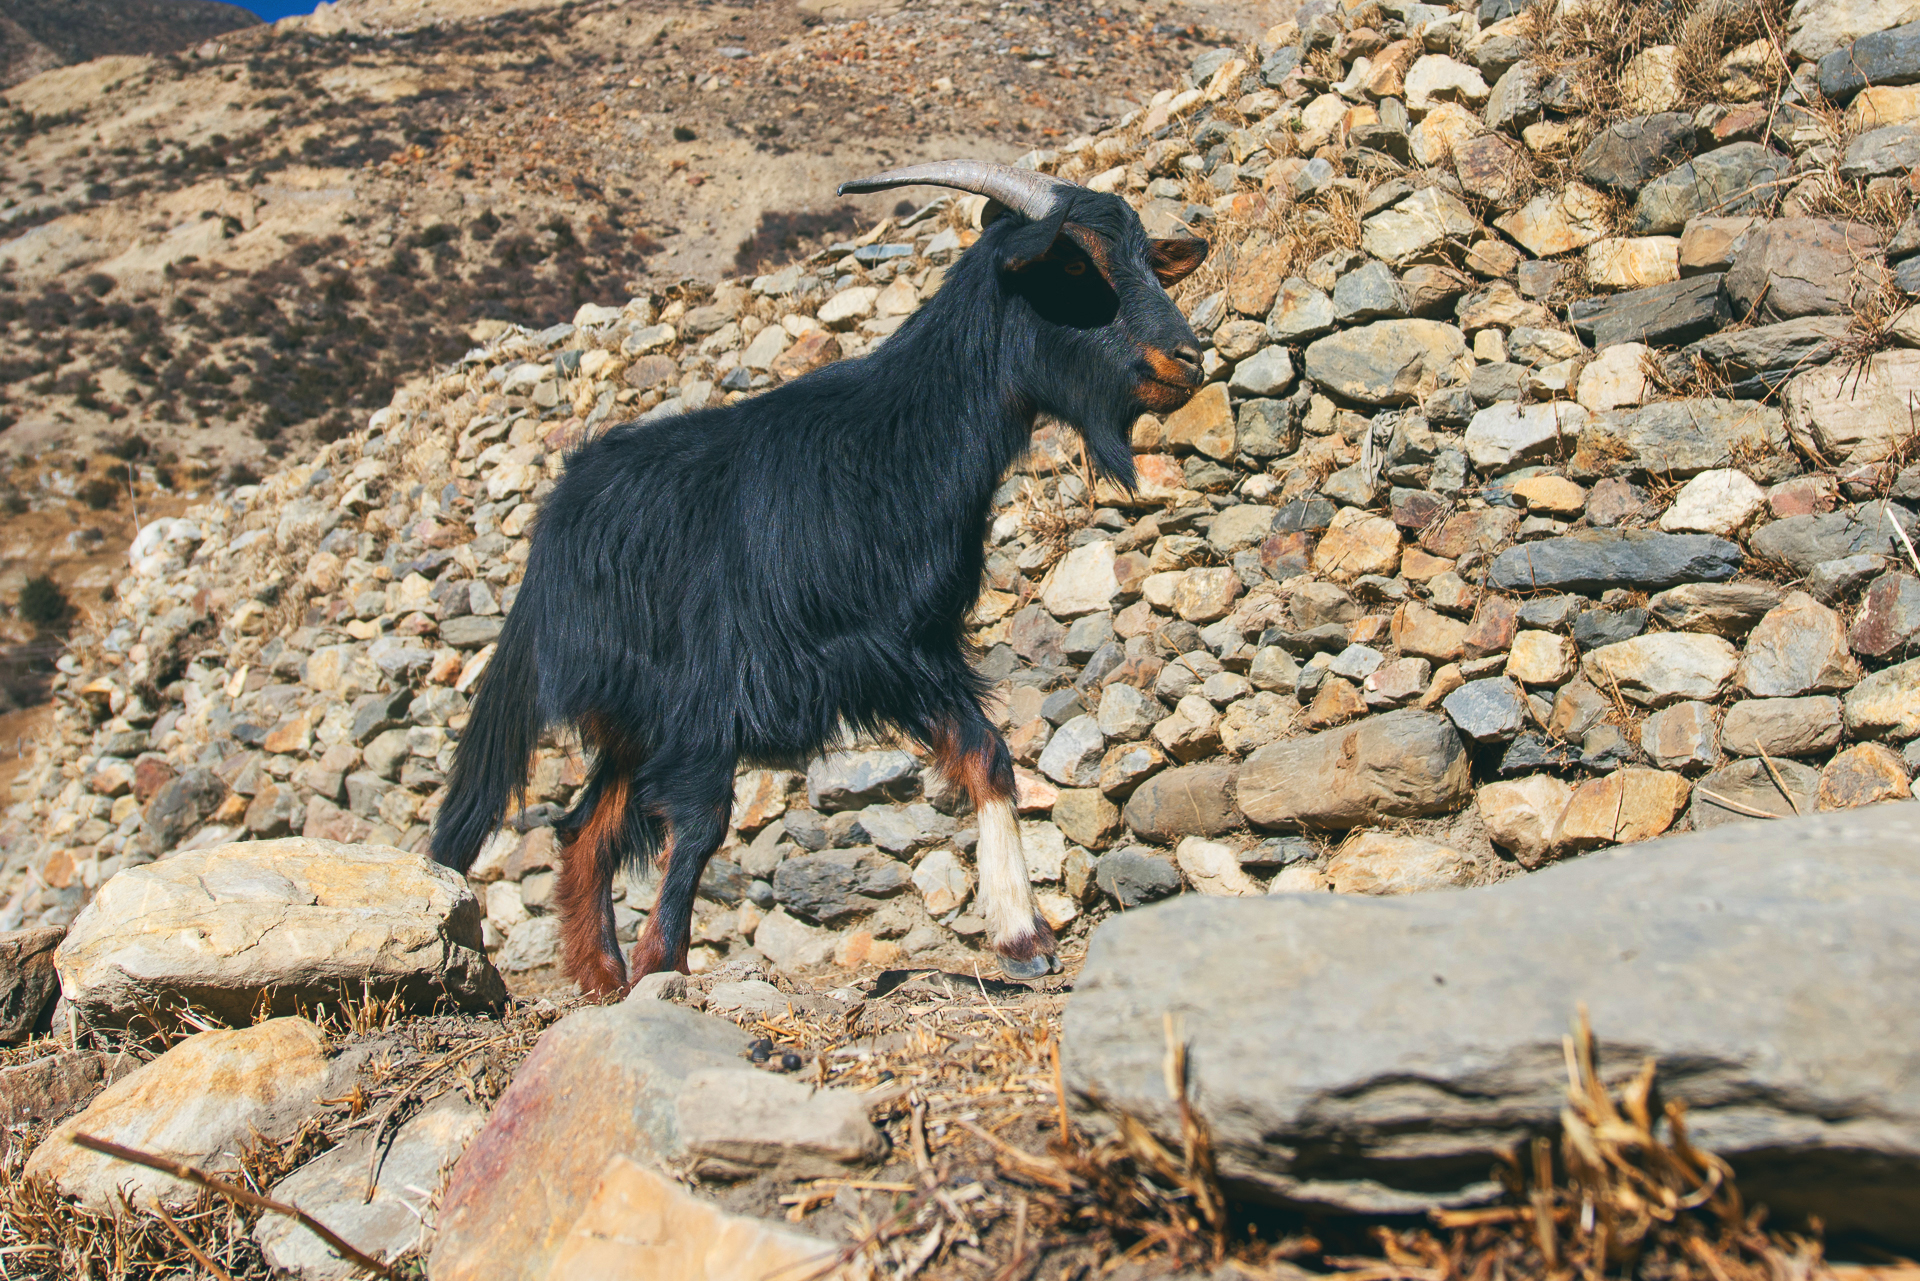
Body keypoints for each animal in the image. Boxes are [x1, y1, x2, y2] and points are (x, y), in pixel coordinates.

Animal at [435, 160, 1205, 998]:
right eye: (1072, 265)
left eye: (1145, 257)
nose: (1188, 359)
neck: (899, 439)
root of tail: (558, 517)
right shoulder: (724, 681)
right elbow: (701, 821)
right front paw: (662, 963)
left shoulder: (908, 650)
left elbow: (987, 754)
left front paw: (1022, 935)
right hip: (650, 700)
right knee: (622, 822)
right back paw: (619, 970)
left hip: (635, 718)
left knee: (584, 827)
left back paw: (599, 974)